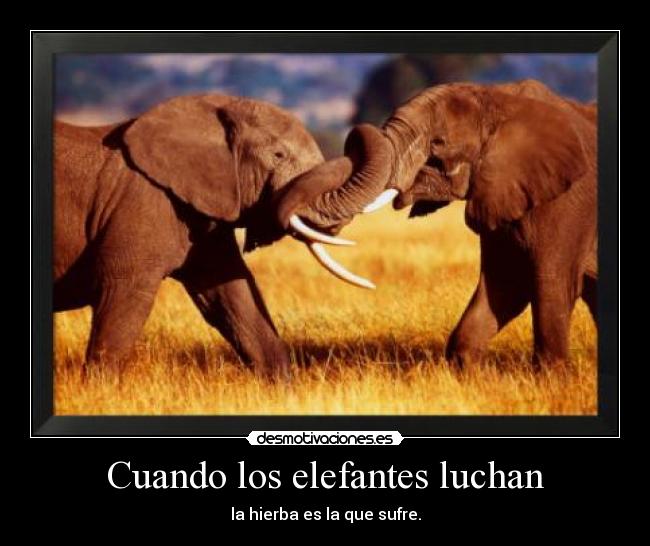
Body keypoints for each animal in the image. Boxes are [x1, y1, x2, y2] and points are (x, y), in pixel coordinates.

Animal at [54, 94, 395, 377]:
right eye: (278, 155)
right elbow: (124, 296)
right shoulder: (143, 202)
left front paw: (283, 392)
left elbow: (232, 293)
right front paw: (101, 389)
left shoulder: (205, 213)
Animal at [336, 79, 597, 369]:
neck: (500, 98)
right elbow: (506, 284)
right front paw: (466, 371)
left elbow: (552, 285)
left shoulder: (568, 203)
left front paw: (551, 376)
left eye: (438, 144)